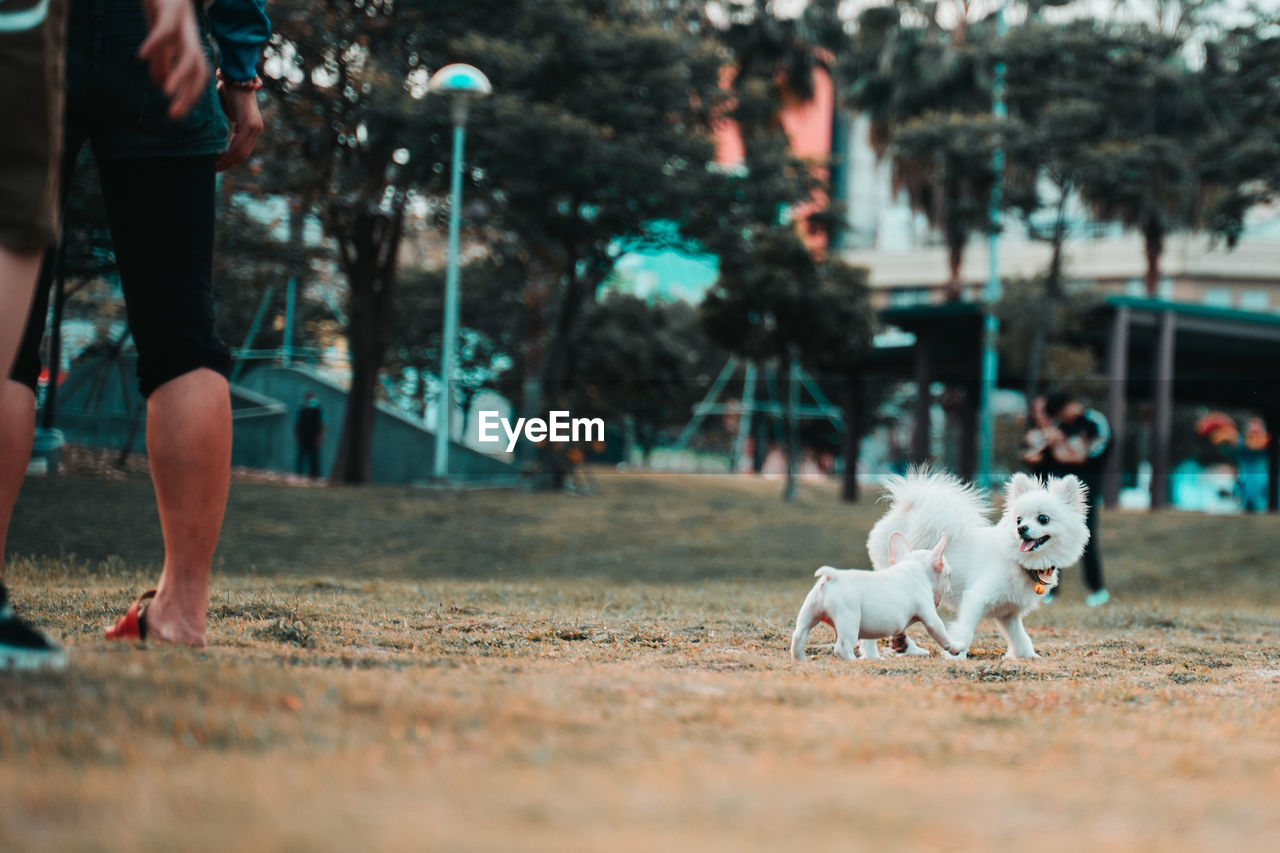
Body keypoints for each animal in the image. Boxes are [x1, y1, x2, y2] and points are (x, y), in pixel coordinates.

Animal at [788, 532, 962, 655]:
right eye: (949, 575)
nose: (949, 586)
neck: (915, 566)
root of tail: (832, 577)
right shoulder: (929, 614)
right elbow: (940, 632)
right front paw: (956, 647)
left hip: (809, 611)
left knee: (798, 636)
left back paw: (800, 661)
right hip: (848, 618)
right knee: (842, 647)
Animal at [860, 466, 1090, 655]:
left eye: (1043, 519)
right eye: (1018, 519)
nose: (1021, 528)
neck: (1016, 560)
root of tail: (906, 508)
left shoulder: (1008, 614)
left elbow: (1021, 639)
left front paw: (1029, 657)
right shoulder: (976, 598)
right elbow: (965, 630)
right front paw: (956, 657)